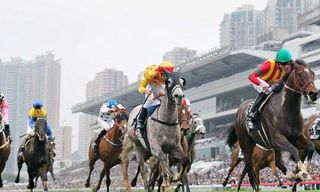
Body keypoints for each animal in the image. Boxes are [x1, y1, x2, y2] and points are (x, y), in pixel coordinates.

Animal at [228, 61, 318, 190]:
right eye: (300, 74)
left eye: (312, 73)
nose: (313, 93)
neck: (285, 109)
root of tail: (239, 111)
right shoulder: (276, 139)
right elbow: (294, 150)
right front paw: (303, 172)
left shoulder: (296, 137)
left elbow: (311, 146)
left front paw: (304, 169)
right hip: (246, 146)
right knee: (250, 171)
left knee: (277, 162)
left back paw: (291, 175)